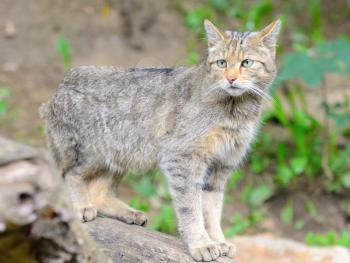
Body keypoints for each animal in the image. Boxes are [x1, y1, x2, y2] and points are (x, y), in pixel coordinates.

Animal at [40, 19, 282, 262]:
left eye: (246, 62)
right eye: (221, 63)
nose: (231, 78)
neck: (236, 110)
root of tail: (59, 86)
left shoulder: (221, 166)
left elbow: (212, 209)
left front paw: (218, 240)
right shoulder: (182, 159)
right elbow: (191, 208)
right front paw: (201, 243)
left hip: (122, 155)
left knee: (100, 191)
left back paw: (127, 212)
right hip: (92, 152)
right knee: (70, 174)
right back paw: (81, 206)